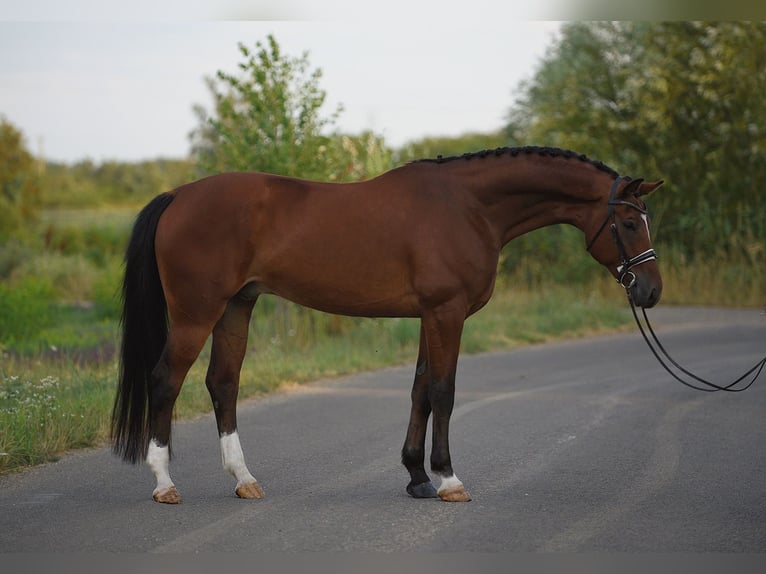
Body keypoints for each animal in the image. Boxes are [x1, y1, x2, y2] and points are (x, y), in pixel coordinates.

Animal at [111, 147, 664, 504]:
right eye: (629, 223)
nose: (651, 291)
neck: (468, 207)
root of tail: (178, 196)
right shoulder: (446, 312)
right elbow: (443, 390)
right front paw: (447, 480)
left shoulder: (429, 315)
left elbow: (420, 390)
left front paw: (417, 477)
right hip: (197, 311)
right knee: (165, 381)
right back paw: (164, 485)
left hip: (235, 308)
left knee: (222, 384)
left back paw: (244, 479)